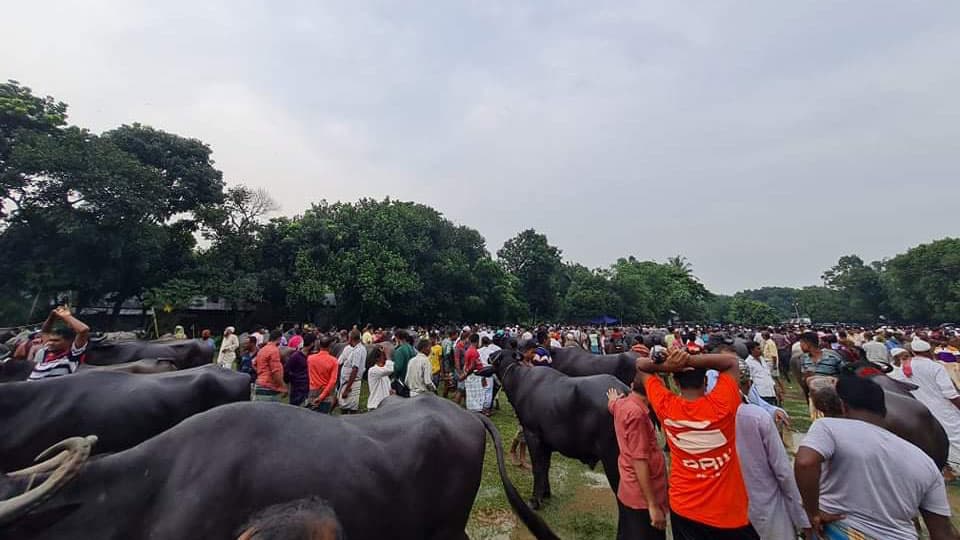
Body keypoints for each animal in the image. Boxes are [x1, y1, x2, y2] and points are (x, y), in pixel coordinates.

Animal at [492, 350, 628, 536]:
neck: (520, 381)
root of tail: (626, 392)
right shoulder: (546, 443)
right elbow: (546, 467)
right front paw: (546, 493)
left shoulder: (532, 435)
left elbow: (538, 468)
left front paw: (535, 500)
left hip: (613, 461)